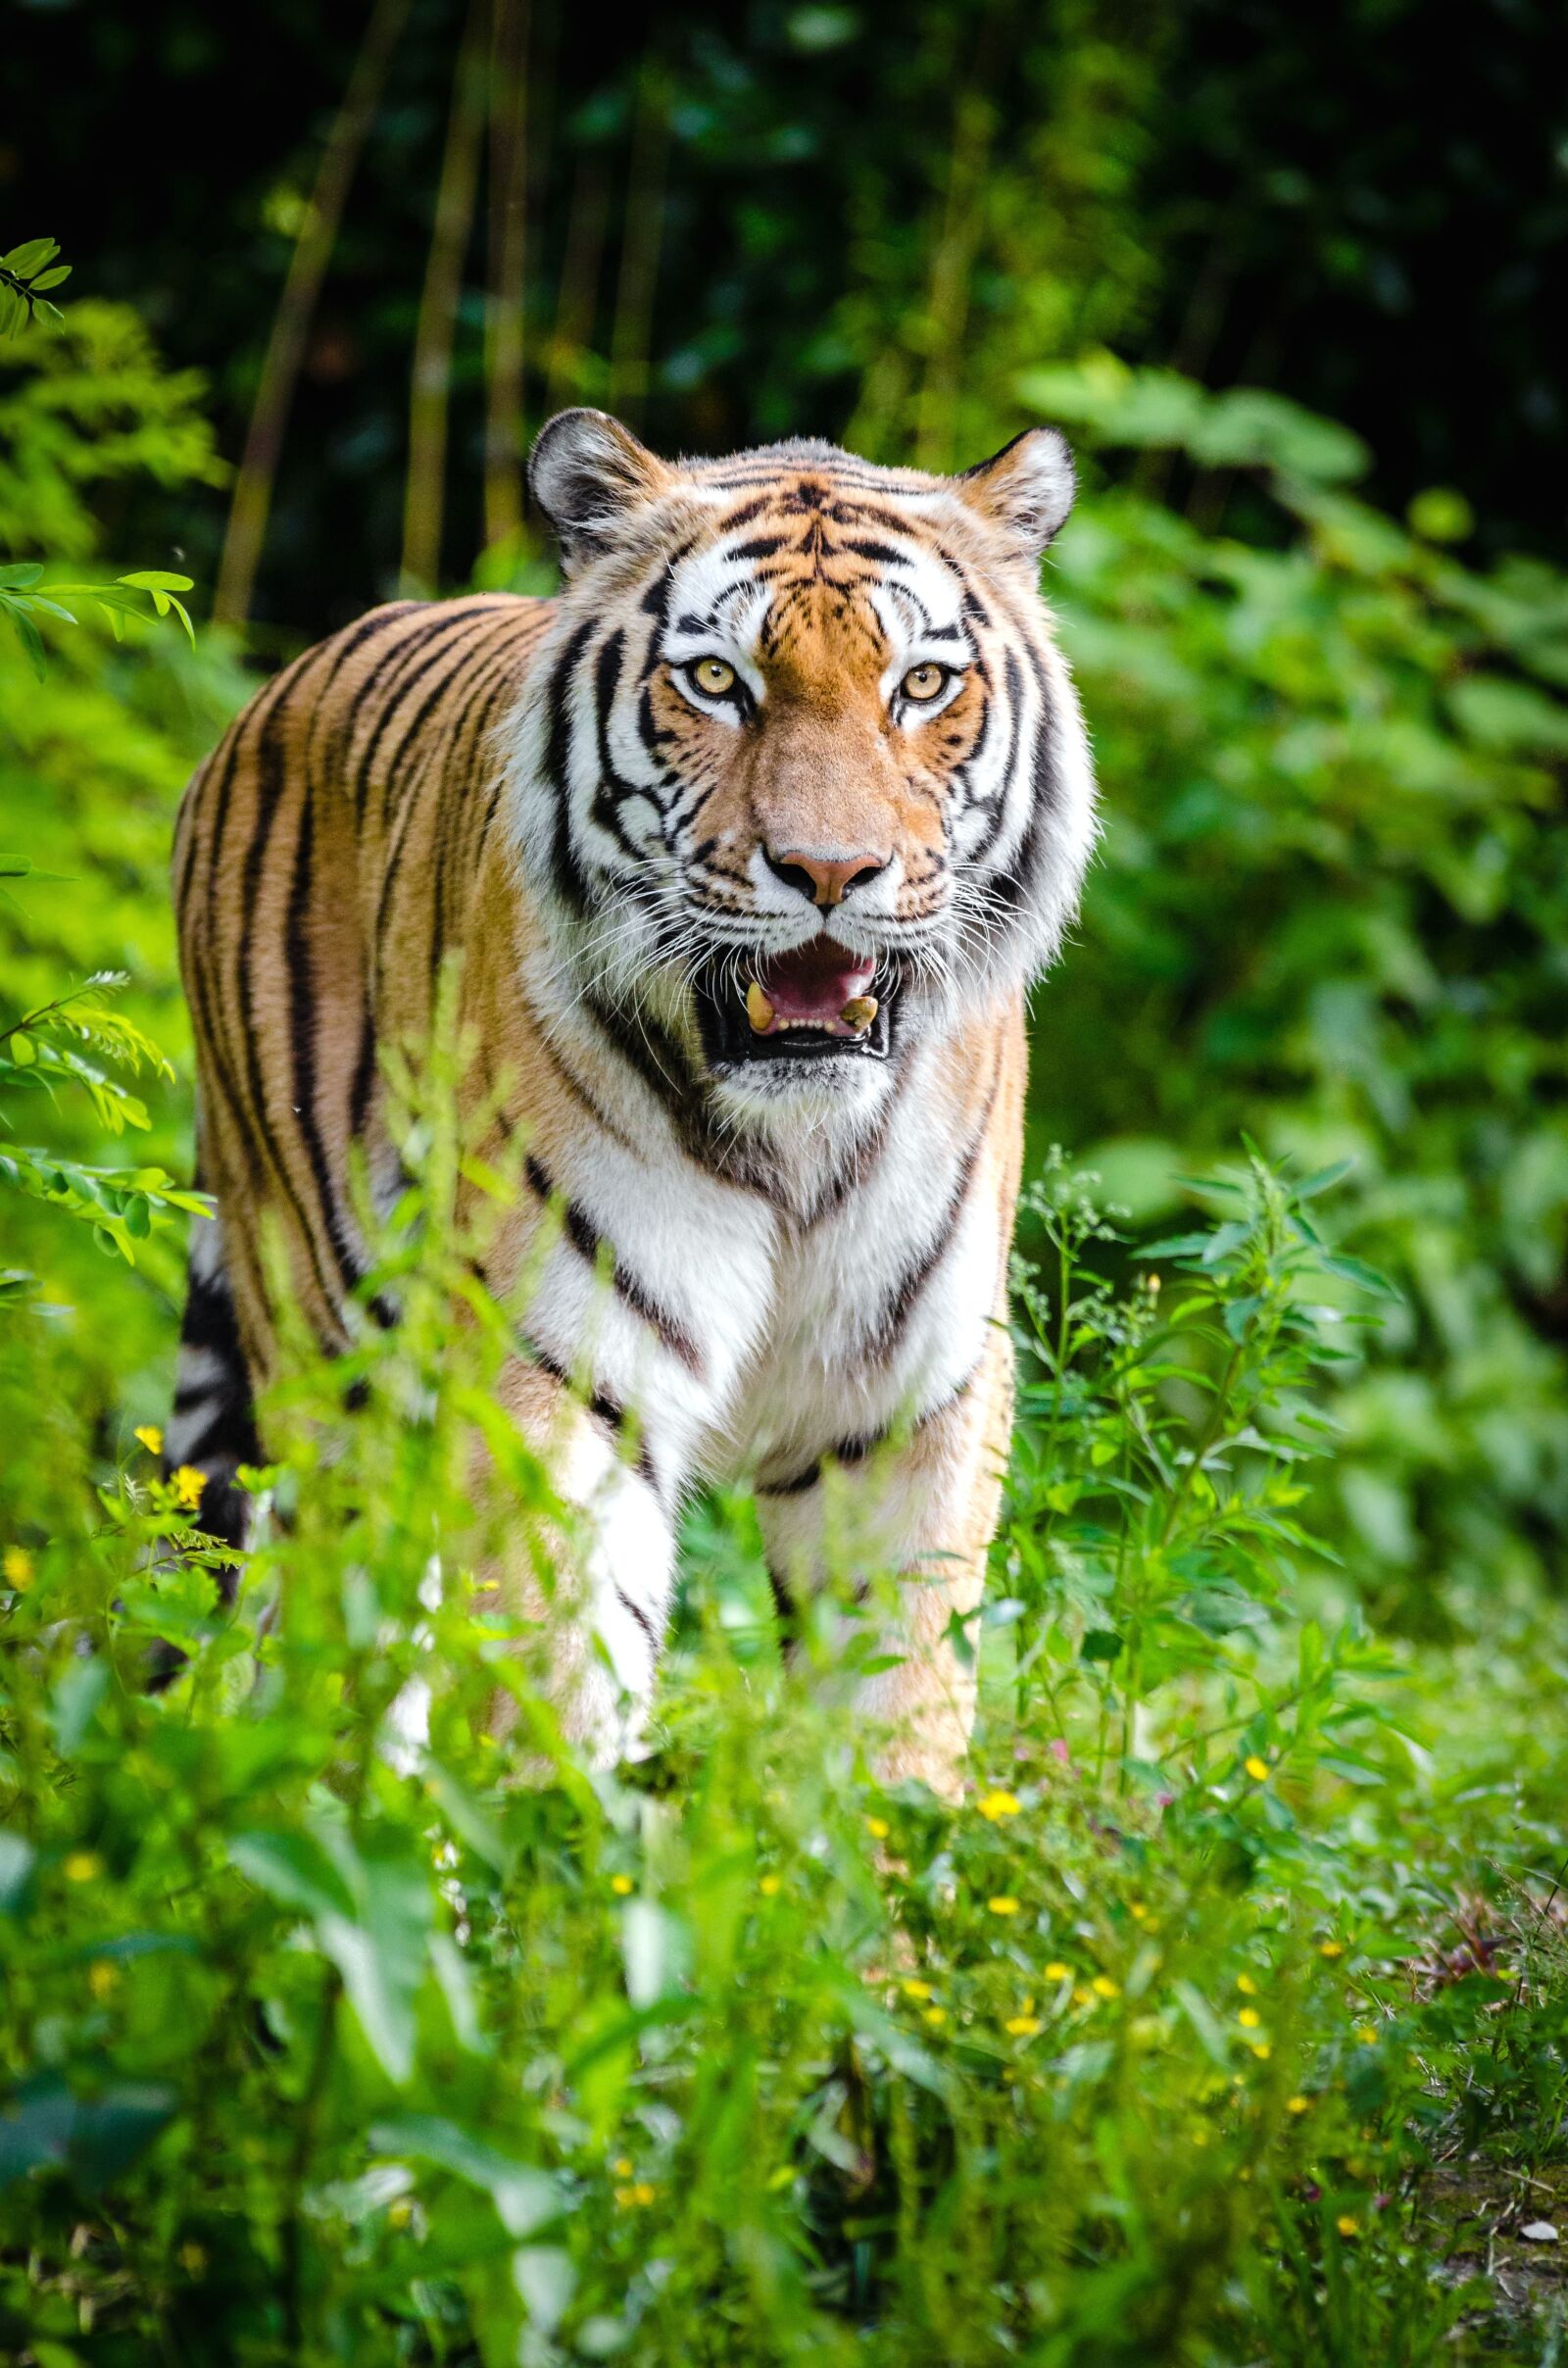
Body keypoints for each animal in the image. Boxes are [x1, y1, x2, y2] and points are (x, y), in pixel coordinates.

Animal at [168, 407, 1096, 1797]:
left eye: (922, 687)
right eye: (716, 681)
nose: (831, 871)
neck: (794, 1142)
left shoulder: (908, 1400)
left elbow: (899, 1707)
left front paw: (890, 1851)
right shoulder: (564, 1374)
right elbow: (555, 1674)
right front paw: (557, 1846)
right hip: (330, 1350)